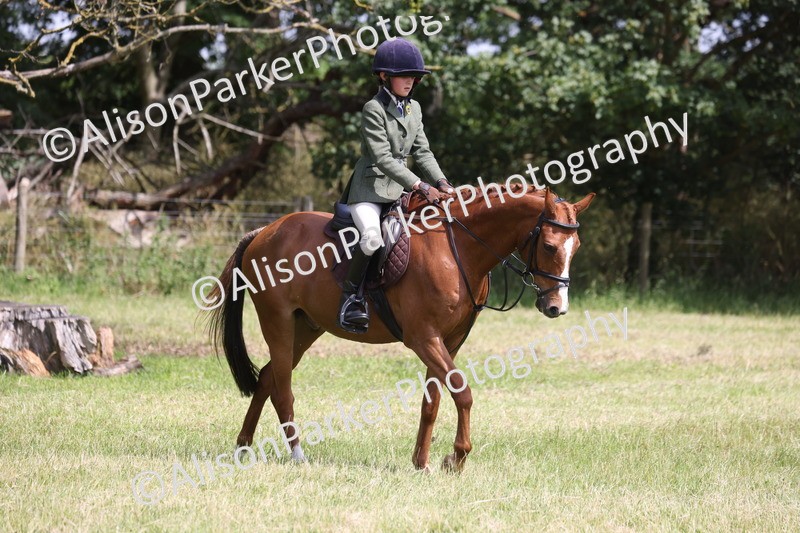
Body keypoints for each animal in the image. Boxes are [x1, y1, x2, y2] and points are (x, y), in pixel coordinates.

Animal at [206, 184, 594, 472]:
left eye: (576, 247)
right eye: (549, 246)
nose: (556, 307)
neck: (459, 249)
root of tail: (265, 231)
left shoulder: (449, 341)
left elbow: (432, 401)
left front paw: (422, 462)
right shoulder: (424, 338)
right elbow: (463, 392)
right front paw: (456, 458)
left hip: (306, 327)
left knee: (268, 377)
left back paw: (243, 448)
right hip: (279, 321)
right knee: (282, 387)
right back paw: (298, 455)